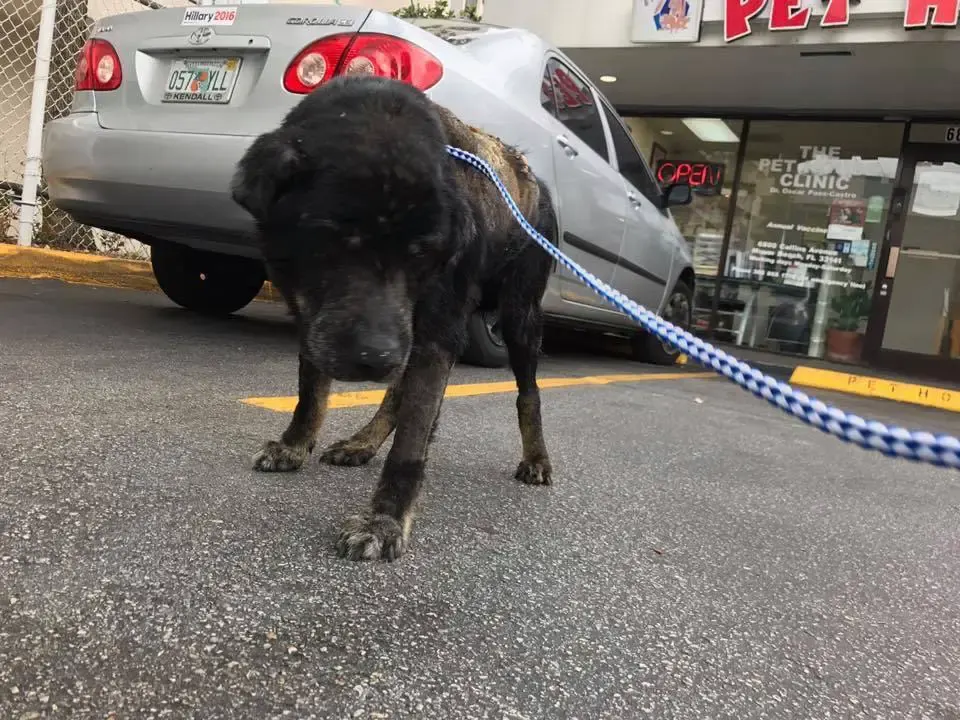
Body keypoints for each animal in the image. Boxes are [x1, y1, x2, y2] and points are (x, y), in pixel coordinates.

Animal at [231, 77, 556, 564]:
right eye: (333, 237)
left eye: (421, 253)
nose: (375, 358)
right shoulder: (313, 316)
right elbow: (312, 391)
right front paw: (294, 444)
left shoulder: (437, 332)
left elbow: (412, 440)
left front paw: (384, 521)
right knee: (396, 390)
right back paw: (362, 442)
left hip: (518, 315)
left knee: (528, 394)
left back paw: (536, 459)